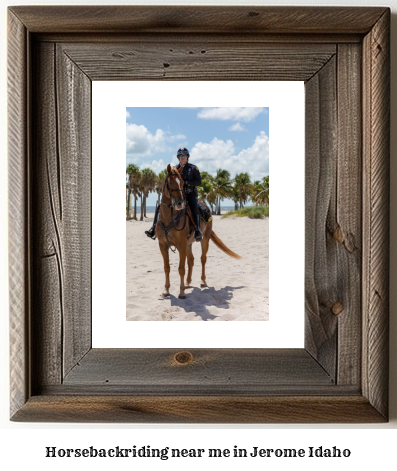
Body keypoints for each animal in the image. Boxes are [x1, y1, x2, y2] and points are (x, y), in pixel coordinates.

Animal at [155, 164, 241, 300]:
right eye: (170, 182)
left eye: (183, 182)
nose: (180, 203)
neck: (169, 218)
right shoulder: (163, 245)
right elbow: (167, 267)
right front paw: (166, 290)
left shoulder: (181, 245)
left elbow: (181, 268)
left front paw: (181, 292)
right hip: (188, 244)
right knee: (191, 260)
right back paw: (187, 282)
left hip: (204, 240)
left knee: (202, 259)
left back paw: (202, 281)